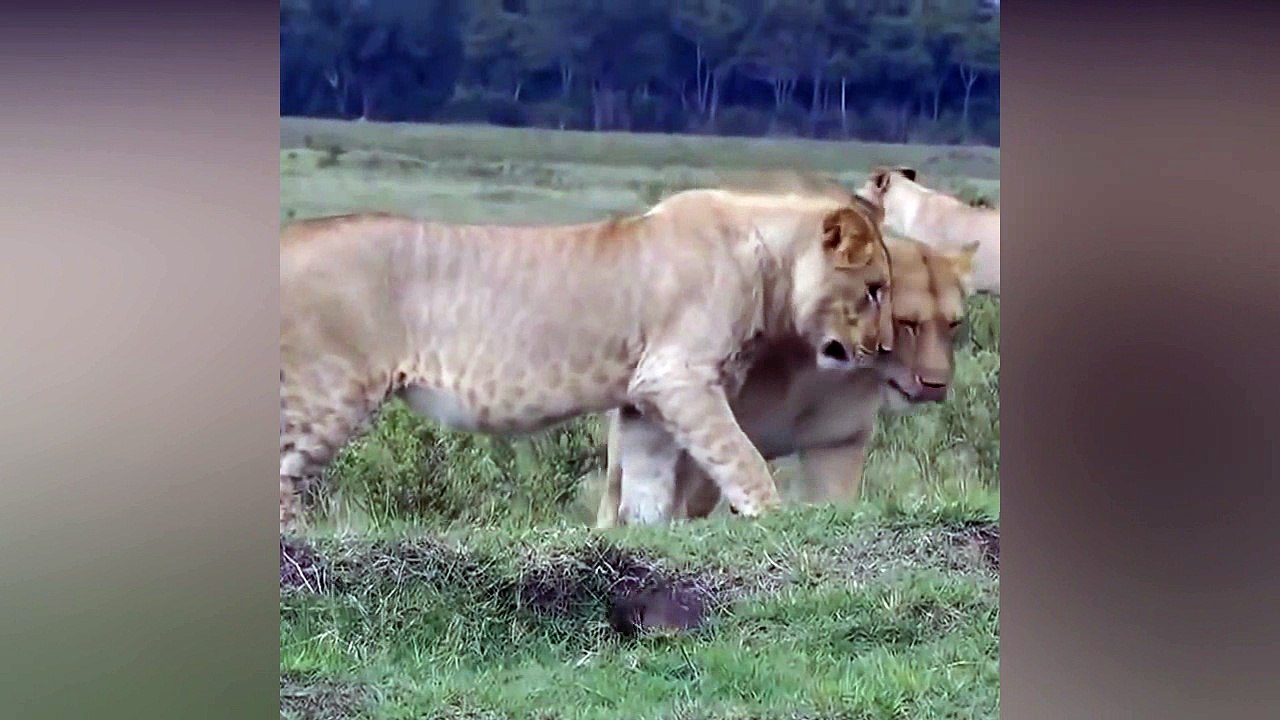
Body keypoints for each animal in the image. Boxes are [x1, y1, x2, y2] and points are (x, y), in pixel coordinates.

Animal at [279, 185, 894, 532]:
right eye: (875, 289)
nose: (884, 347)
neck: (768, 261)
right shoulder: (679, 377)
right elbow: (739, 456)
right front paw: (773, 517)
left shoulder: (645, 398)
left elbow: (647, 483)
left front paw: (641, 538)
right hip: (324, 390)